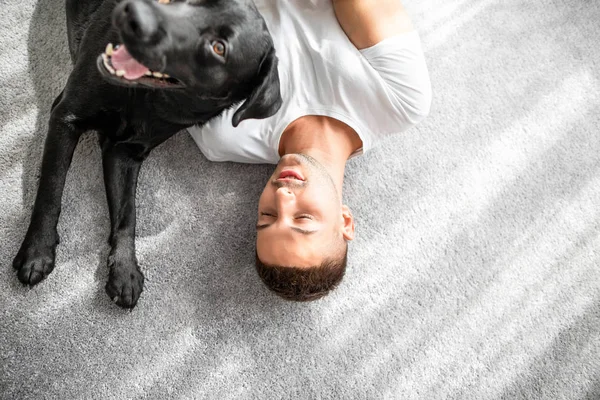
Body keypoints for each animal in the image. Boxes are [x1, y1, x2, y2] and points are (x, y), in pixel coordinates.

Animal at [12, 0, 282, 310]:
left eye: (219, 47)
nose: (131, 12)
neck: (145, 97)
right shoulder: (65, 116)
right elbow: (51, 188)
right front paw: (37, 250)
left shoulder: (124, 153)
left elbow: (127, 214)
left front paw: (124, 270)